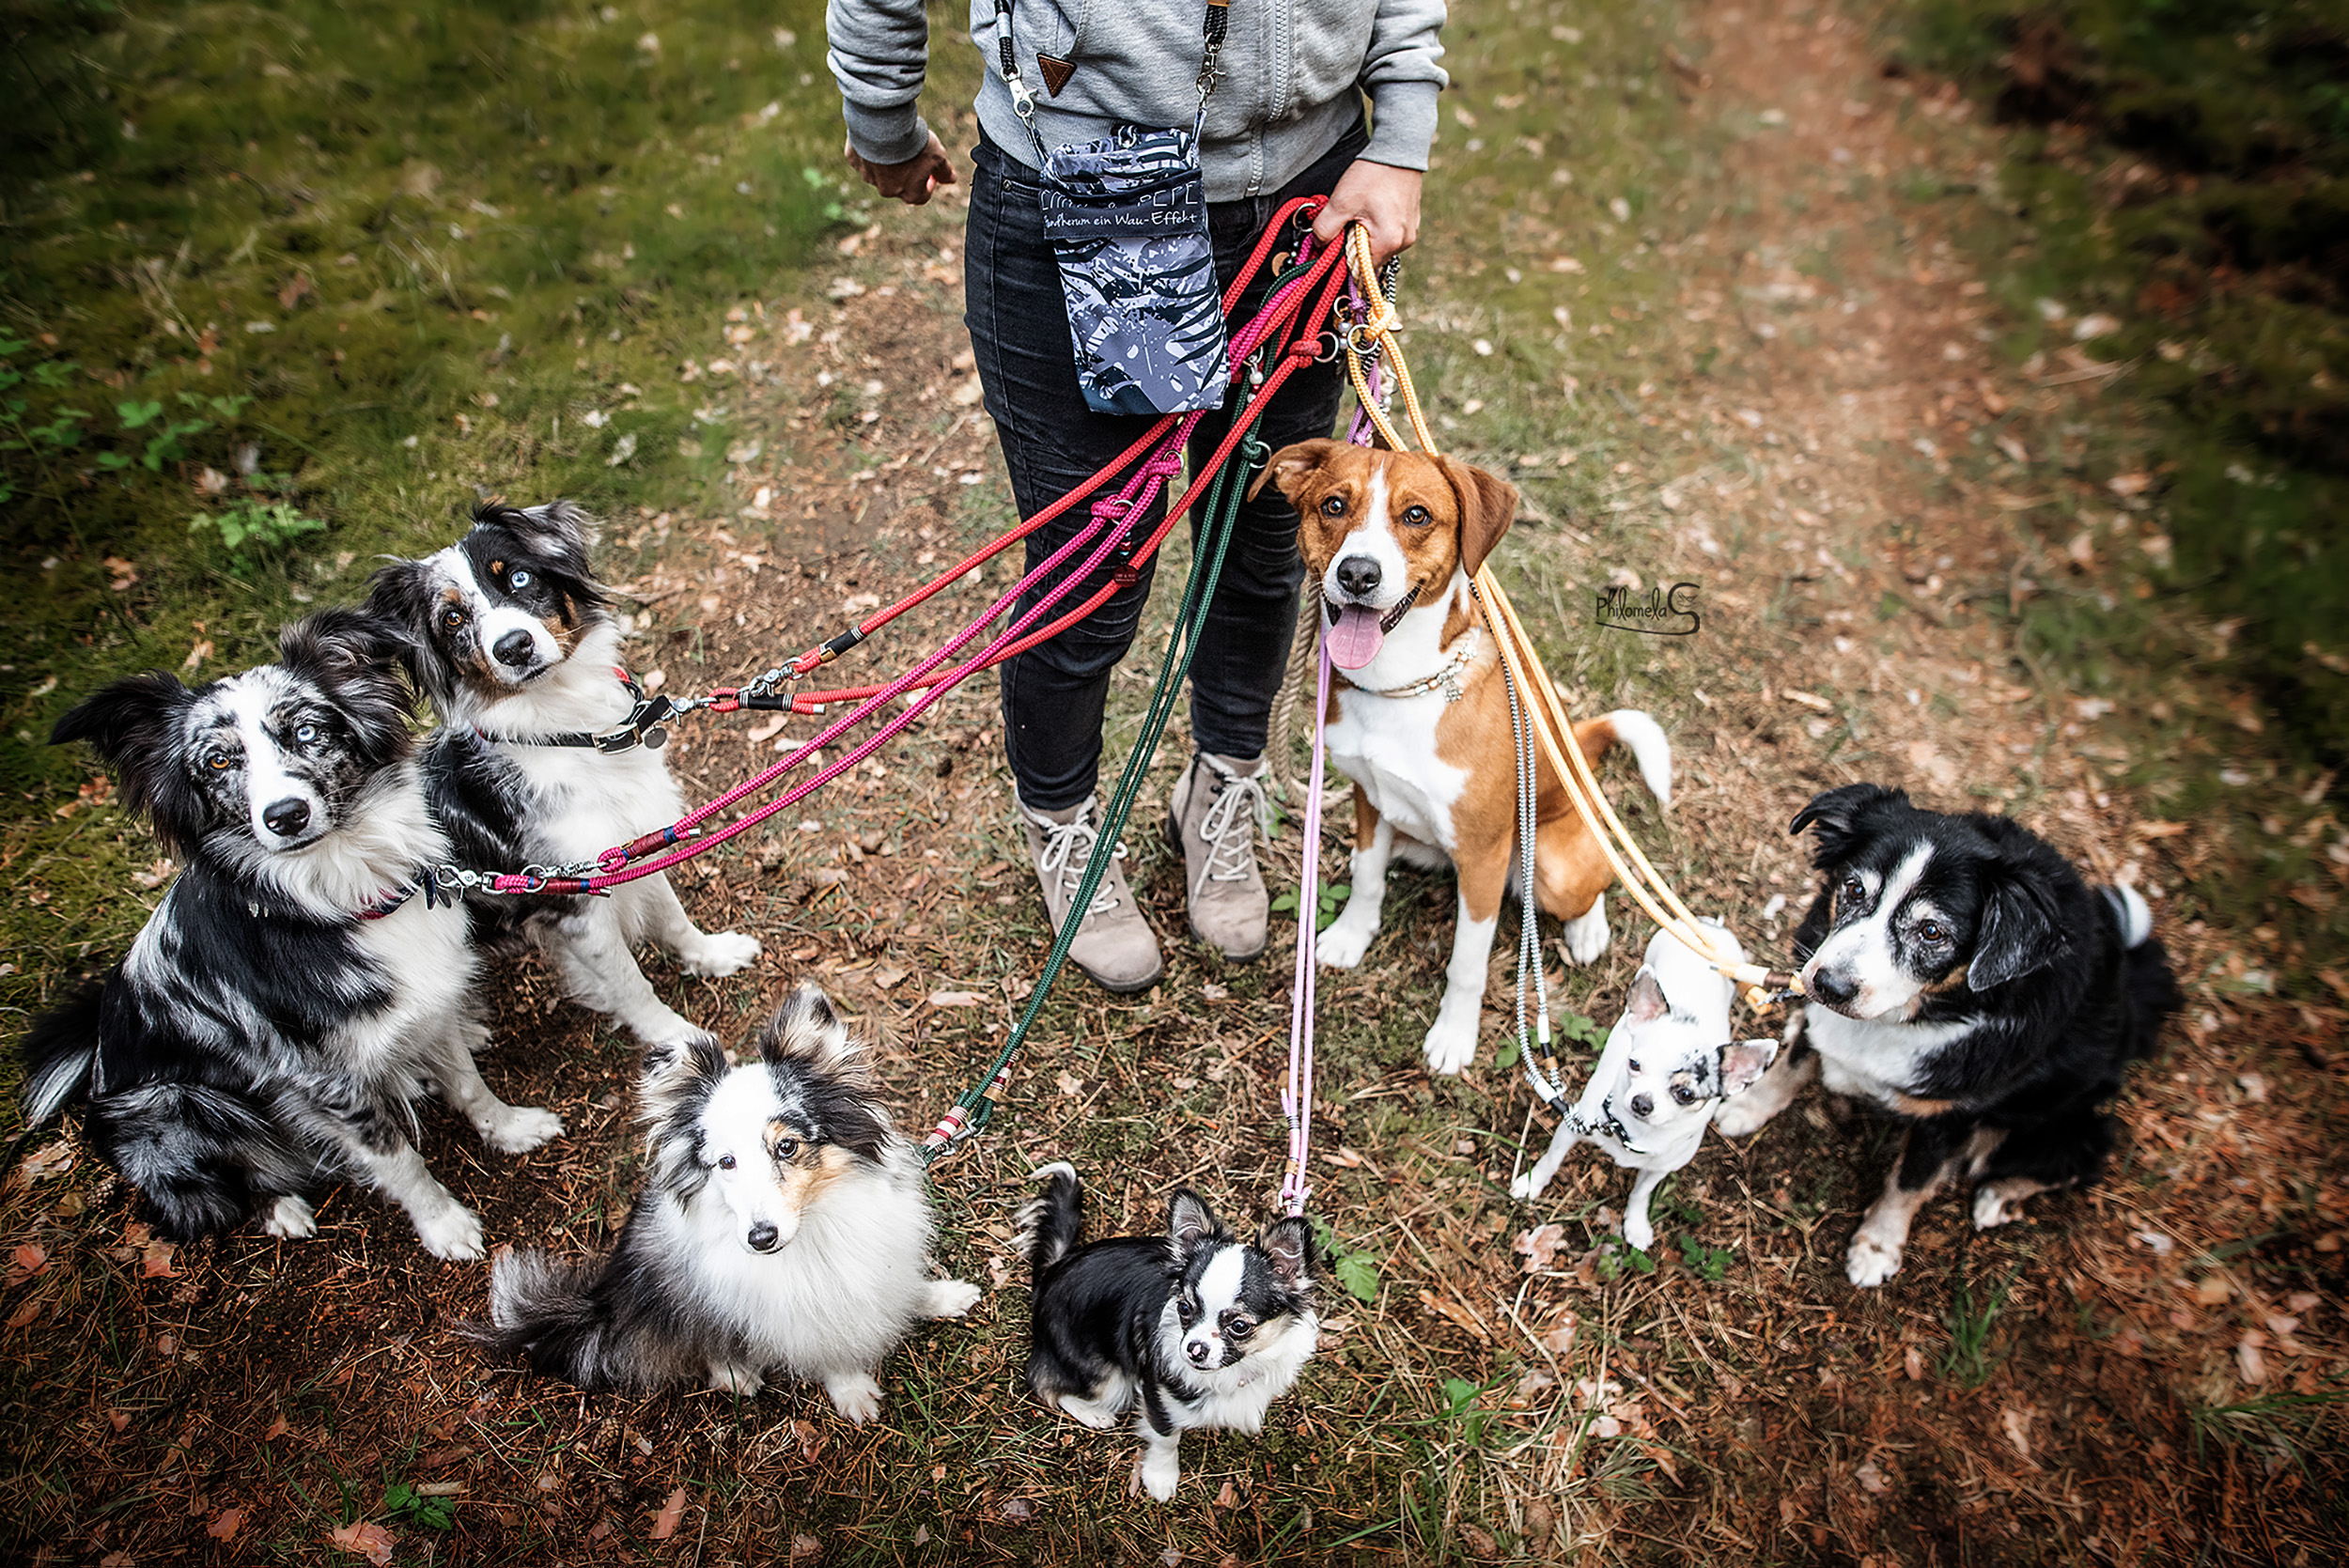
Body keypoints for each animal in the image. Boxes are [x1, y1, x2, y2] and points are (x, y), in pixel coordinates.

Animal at [22, 605, 559, 1258]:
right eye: (218, 762)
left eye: (306, 732)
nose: (285, 815)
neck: (341, 896)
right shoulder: (323, 1084)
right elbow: (400, 1160)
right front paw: (444, 1225)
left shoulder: (427, 1002)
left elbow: (468, 1085)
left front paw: (509, 1128)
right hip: (178, 1104)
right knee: (209, 1190)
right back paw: (279, 1207)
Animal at [366, 502, 756, 1051]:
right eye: (453, 618)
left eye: (519, 577)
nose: (513, 646)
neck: (568, 733)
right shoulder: (576, 907)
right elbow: (629, 983)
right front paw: (674, 1041)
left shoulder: (632, 845)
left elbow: (674, 920)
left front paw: (713, 956)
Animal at [1029, 1169, 1325, 1502]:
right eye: (1184, 1307)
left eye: (1239, 1326)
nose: (1195, 1349)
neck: (1236, 1367)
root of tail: (1051, 1273)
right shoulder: (1158, 1394)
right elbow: (1165, 1438)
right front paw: (1161, 1476)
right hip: (1103, 1375)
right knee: (1046, 1385)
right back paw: (1093, 1414)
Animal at [1710, 784, 2180, 1286]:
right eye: (1854, 889)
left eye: (1932, 932)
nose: (1829, 986)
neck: (1918, 1013)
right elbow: (1794, 1064)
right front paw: (1748, 1107)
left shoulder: (1948, 1117)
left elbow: (1909, 1182)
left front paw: (1877, 1247)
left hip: (2053, 1119)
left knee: (2083, 1153)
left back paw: (2000, 1195)